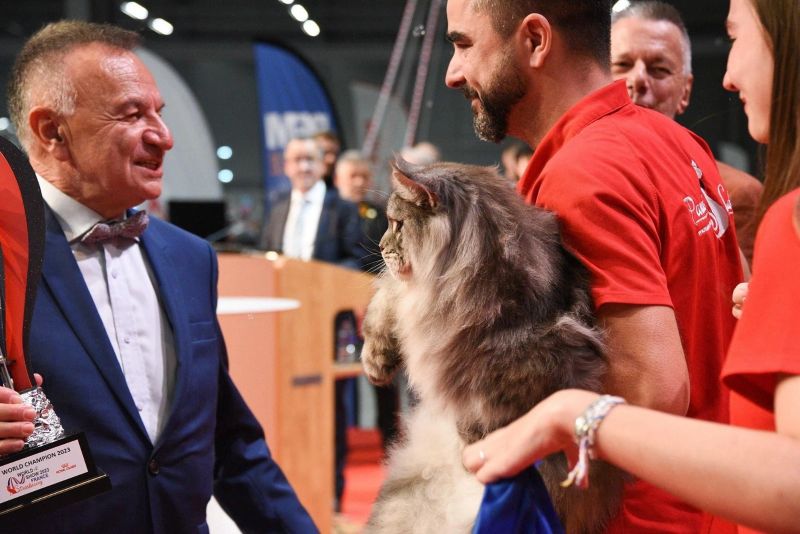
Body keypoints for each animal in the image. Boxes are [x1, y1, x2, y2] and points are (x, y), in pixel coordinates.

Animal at [361, 157, 624, 533]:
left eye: (397, 223)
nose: (381, 247)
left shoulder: (538, 355)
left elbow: (487, 404)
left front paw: (474, 442)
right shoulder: (412, 299)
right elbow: (386, 300)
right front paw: (375, 360)